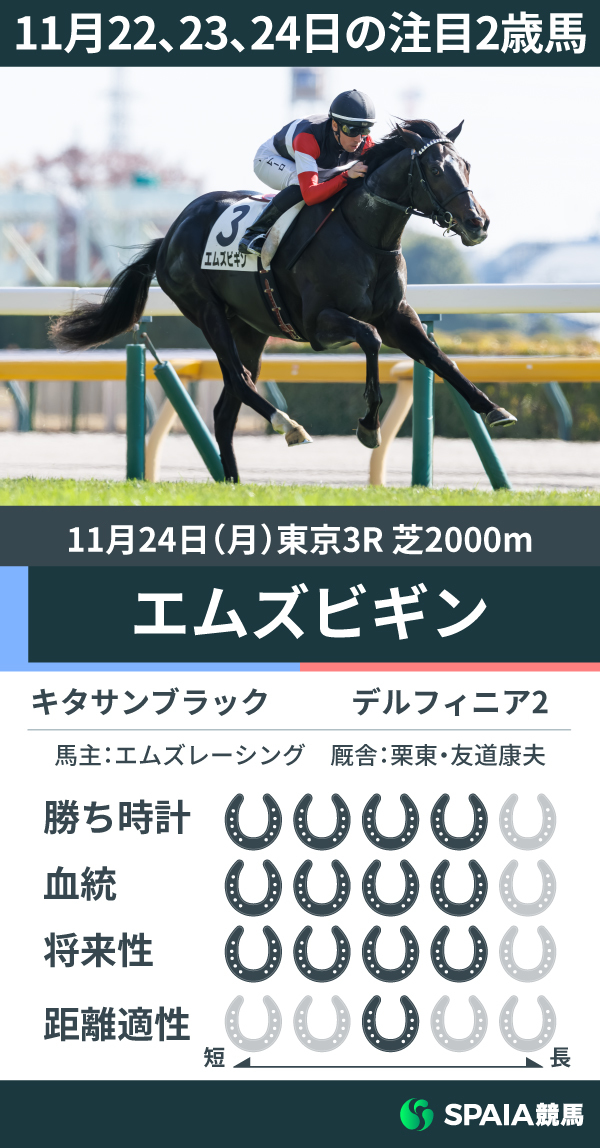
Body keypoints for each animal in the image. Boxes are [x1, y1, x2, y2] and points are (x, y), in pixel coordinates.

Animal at [50, 118, 516, 483]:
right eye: (436, 170)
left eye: (466, 166)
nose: (478, 223)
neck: (365, 235)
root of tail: (170, 235)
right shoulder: (320, 325)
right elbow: (369, 338)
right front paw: (369, 425)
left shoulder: (397, 316)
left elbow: (440, 358)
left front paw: (493, 408)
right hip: (207, 312)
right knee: (240, 382)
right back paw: (287, 425)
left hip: (249, 330)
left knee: (226, 409)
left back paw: (234, 482)